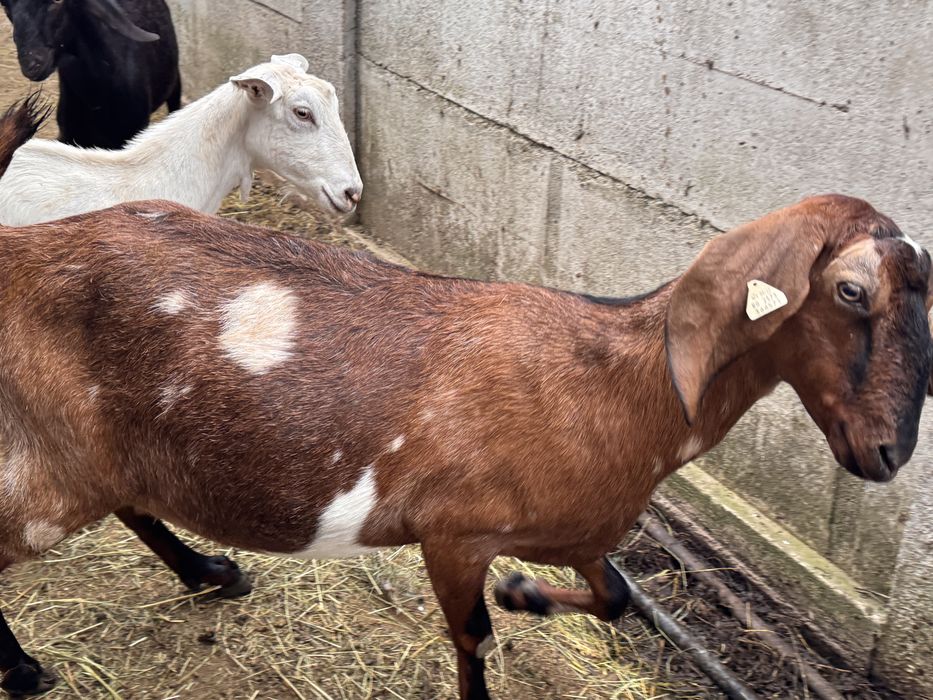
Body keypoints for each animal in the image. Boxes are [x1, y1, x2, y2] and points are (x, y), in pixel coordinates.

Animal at [0, 132, 929, 699]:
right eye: (850, 291)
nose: (886, 454)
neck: (613, 387)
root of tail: (21, 254)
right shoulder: (452, 533)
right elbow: (474, 641)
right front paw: (508, 611)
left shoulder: (577, 532)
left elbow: (619, 594)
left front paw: (527, 595)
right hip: (49, 470)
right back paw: (29, 670)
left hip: (107, 447)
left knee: (134, 500)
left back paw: (211, 574)